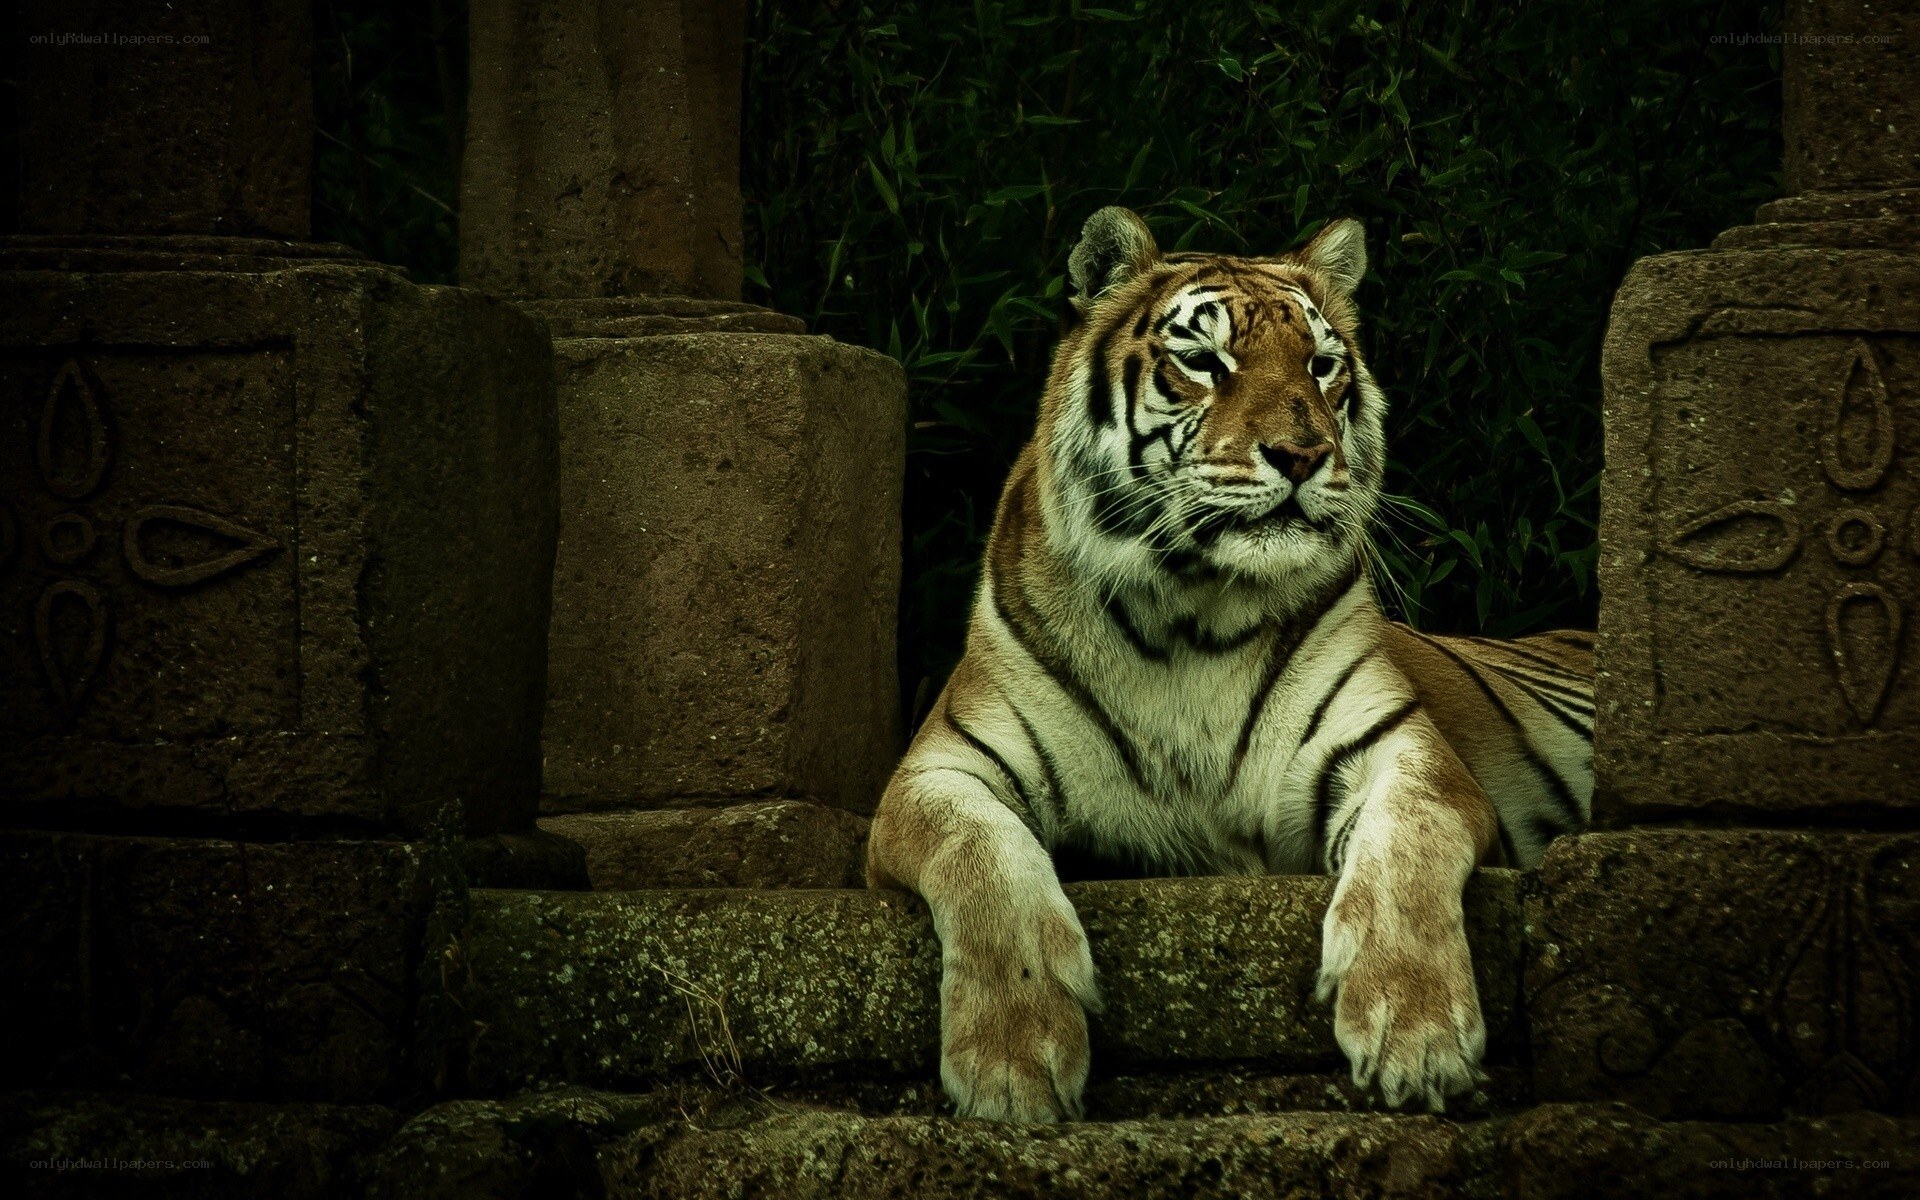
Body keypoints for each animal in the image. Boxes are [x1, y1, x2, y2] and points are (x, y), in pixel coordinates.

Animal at [865, 206, 1593, 1121]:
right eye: (1205, 363)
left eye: (1321, 366)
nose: (1302, 454)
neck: (1192, 613)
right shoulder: (937, 770)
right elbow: (982, 858)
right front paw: (1011, 1061)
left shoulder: (1402, 749)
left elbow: (1408, 845)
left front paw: (1416, 1033)